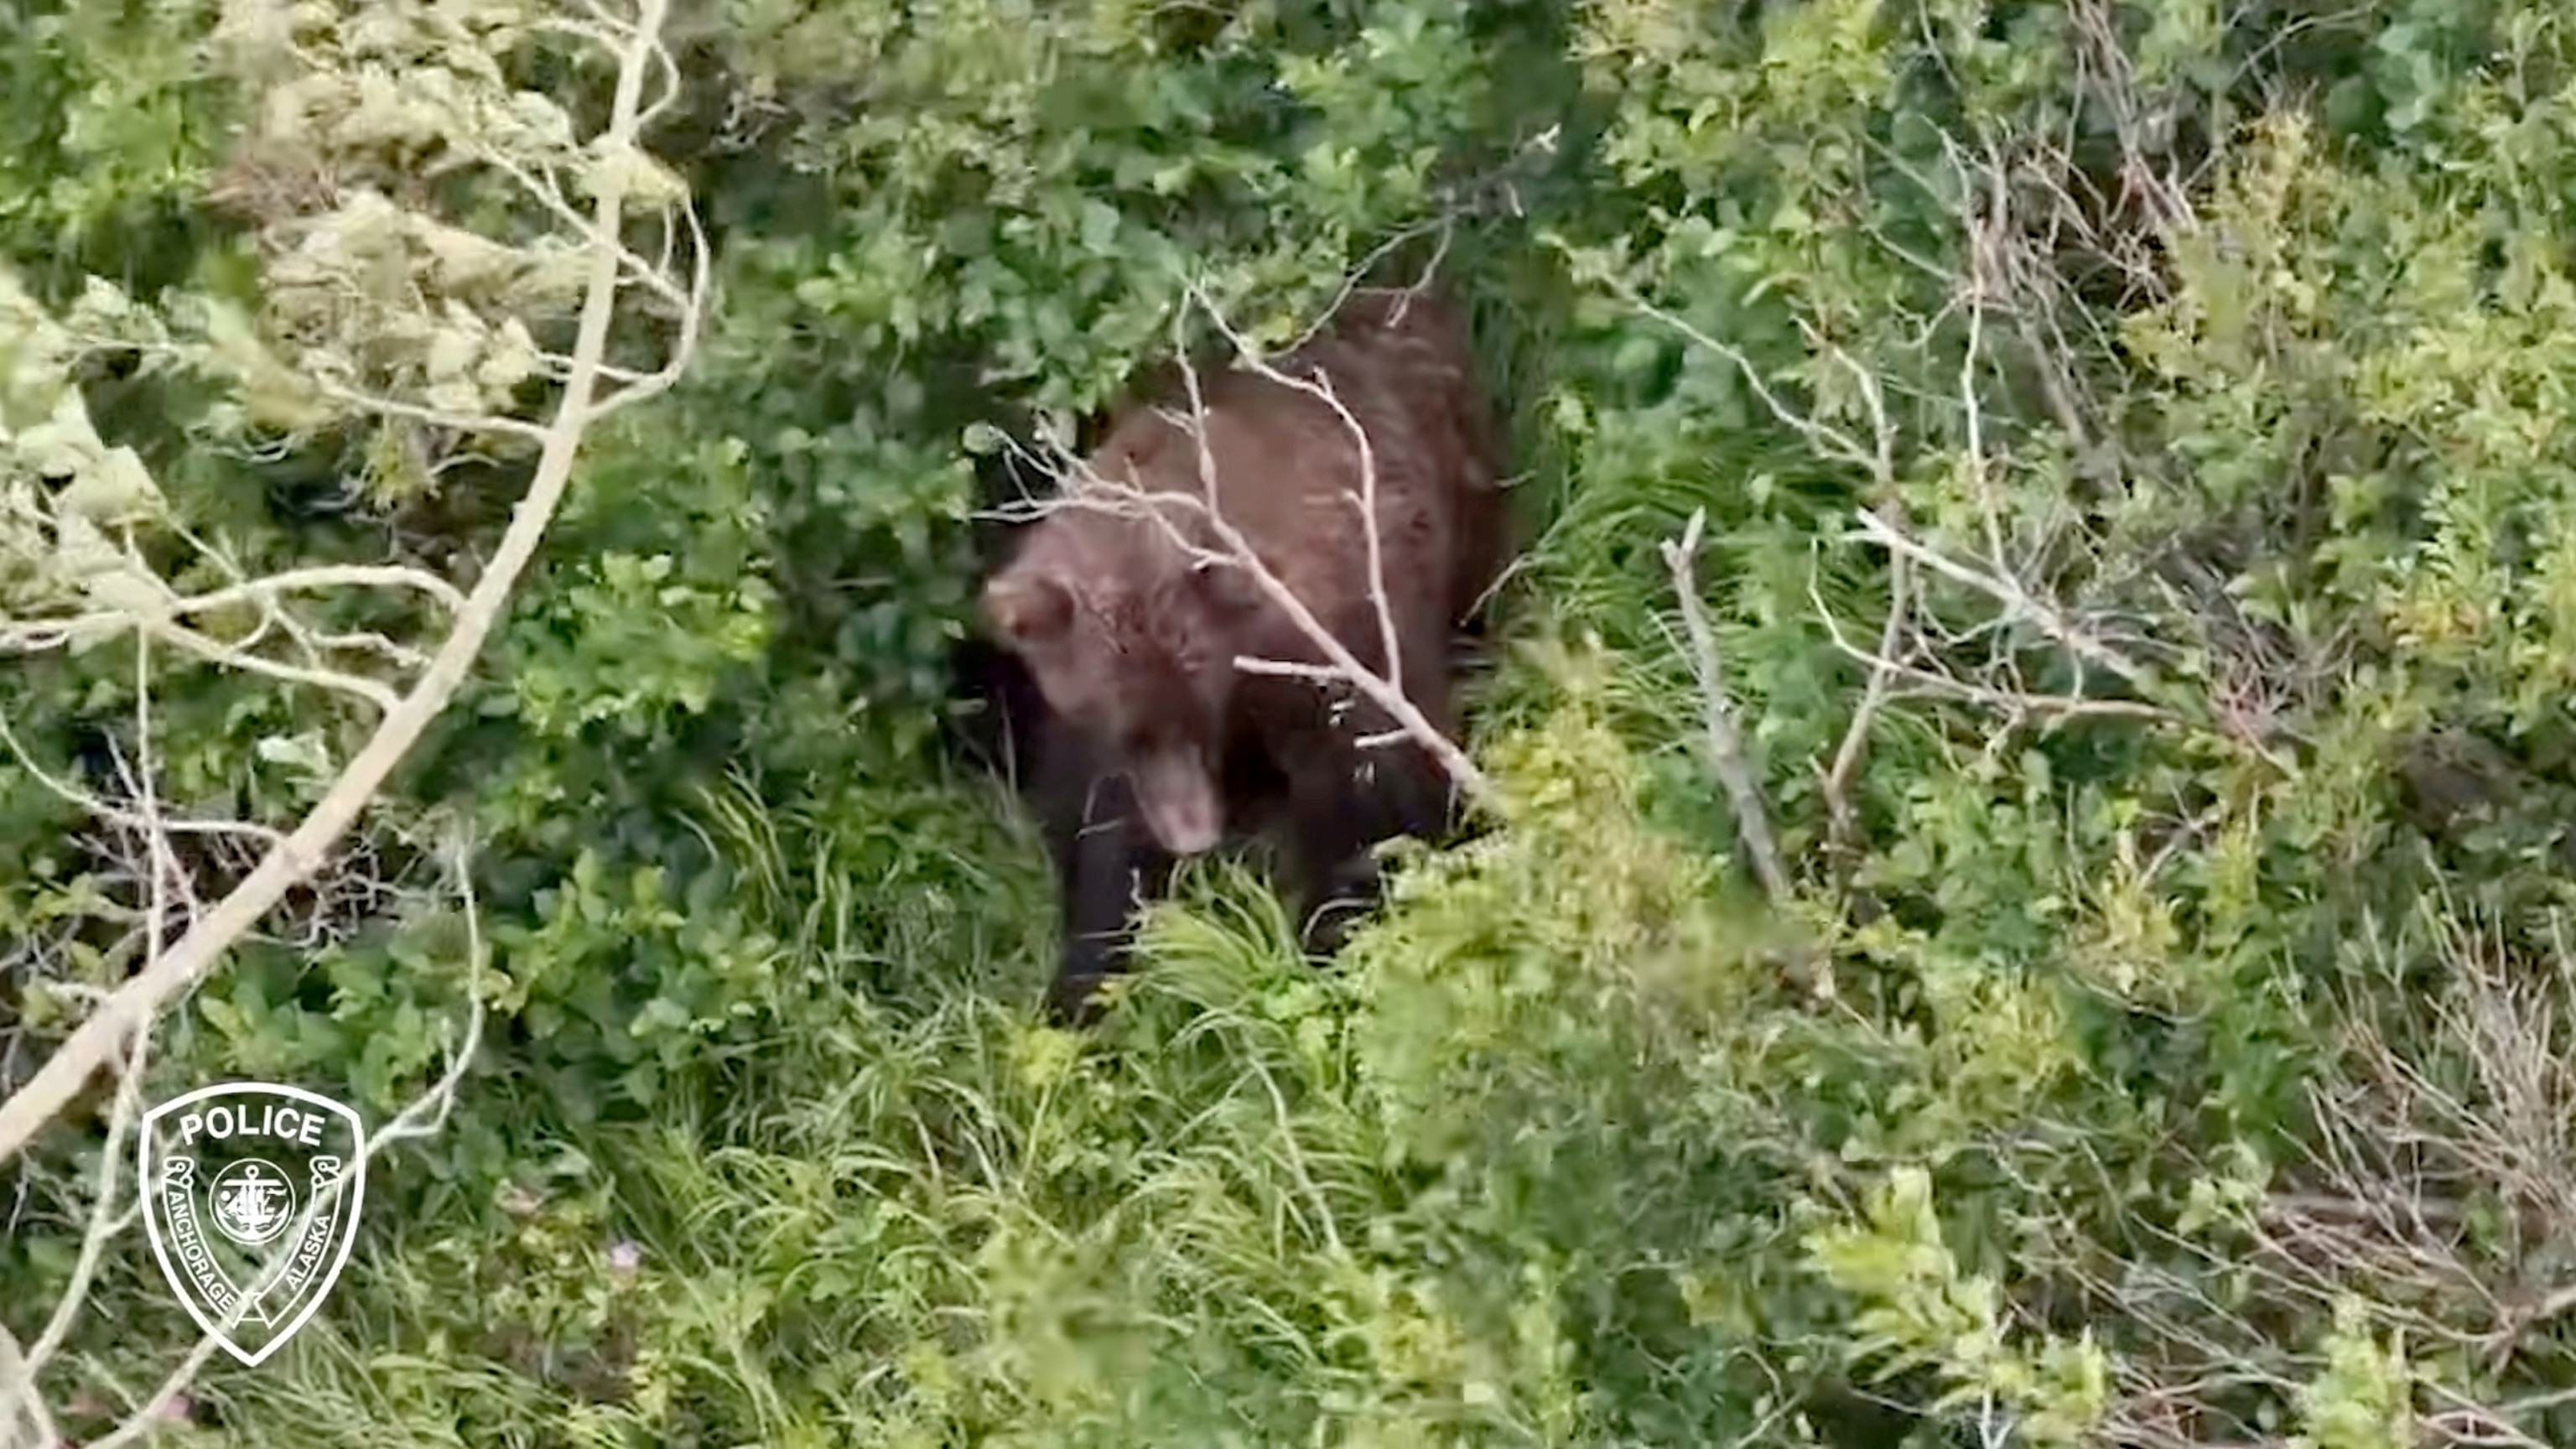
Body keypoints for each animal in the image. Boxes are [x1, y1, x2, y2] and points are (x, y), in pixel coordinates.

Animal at [972, 285, 1509, 1021]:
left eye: (1194, 690)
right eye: (1115, 713)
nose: (1192, 833)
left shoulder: (1332, 650)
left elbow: (1372, 789)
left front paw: (1332, 934)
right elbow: (1096, 836)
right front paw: (1083, 982)